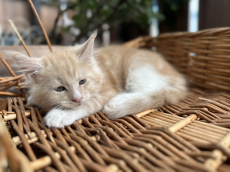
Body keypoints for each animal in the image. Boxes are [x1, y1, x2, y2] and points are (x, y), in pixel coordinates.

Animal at [6, 30, 188, 127]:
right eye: (59, 89)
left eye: (82, 81)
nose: (77, 98)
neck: (98, 69)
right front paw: (32, 99)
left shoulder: (107, 90)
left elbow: (89, 104)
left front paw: (60, 114)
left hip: (137, 70)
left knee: (156, 91)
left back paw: (122, 99)